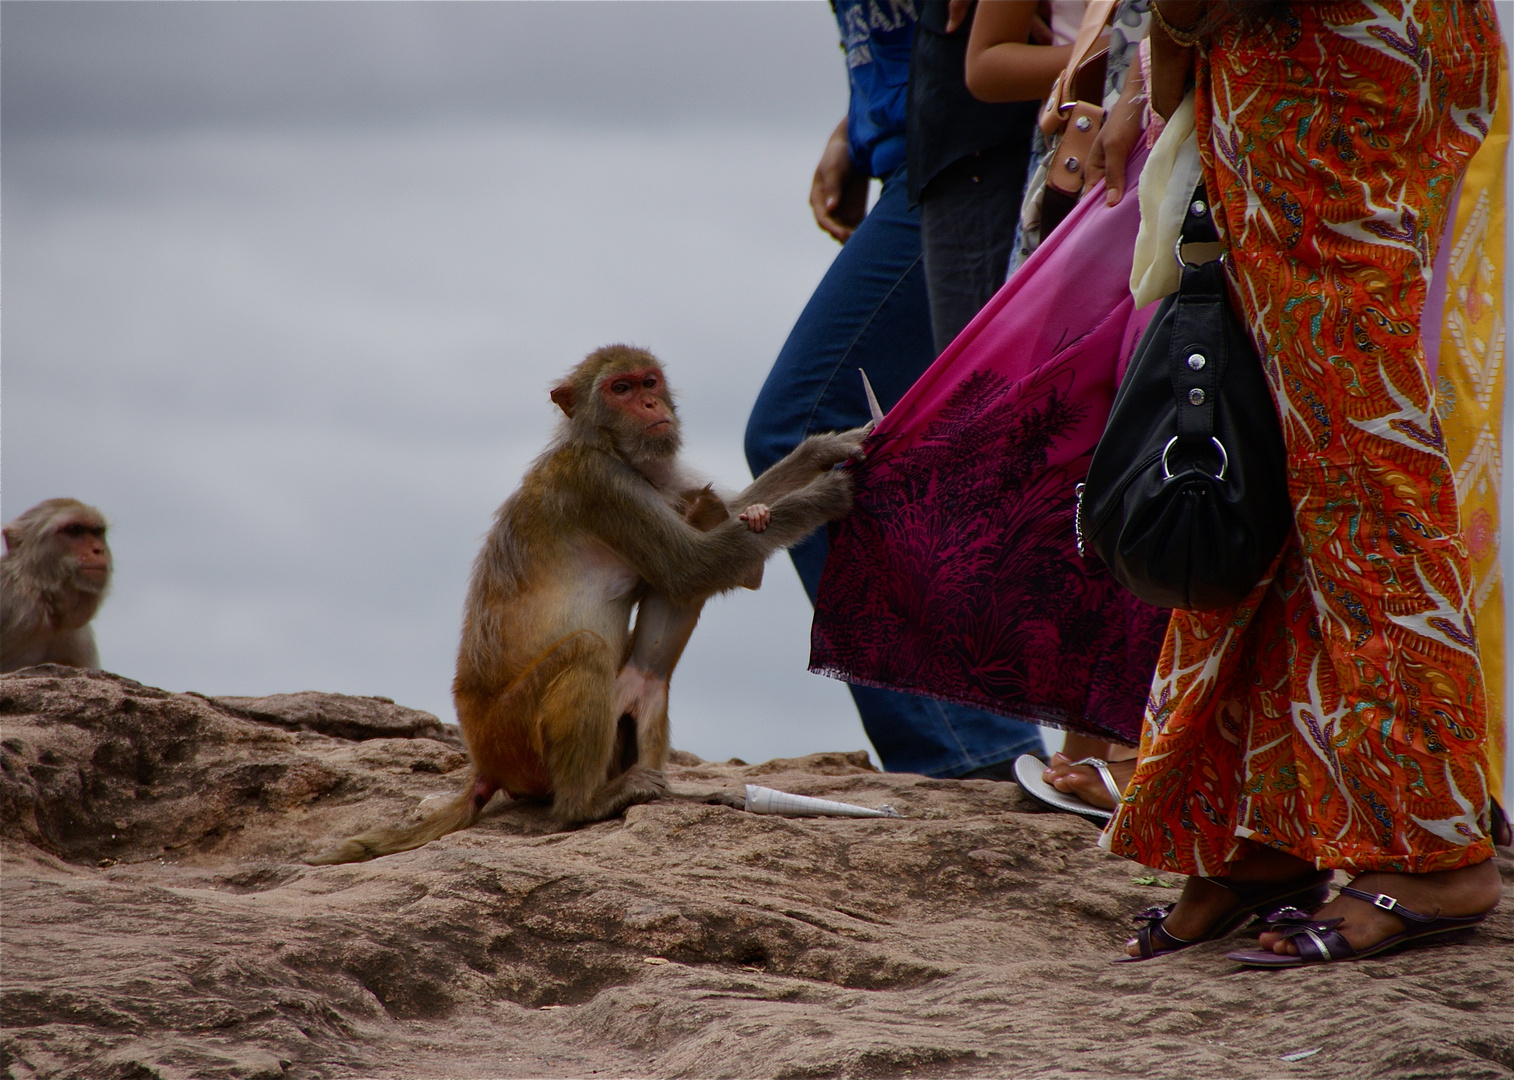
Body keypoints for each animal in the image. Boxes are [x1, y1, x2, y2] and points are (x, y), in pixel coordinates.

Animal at [310, 340, 866, 866]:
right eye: (619, 389)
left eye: (648, 381)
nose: (649, 403)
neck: (610, 446)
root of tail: (482, 762)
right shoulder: (601, 485)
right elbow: (691, 569)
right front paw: (828, 492)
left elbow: (722, 537)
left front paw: (822, 450)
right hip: (514, 736)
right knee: (586, 652)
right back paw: (586, 804)